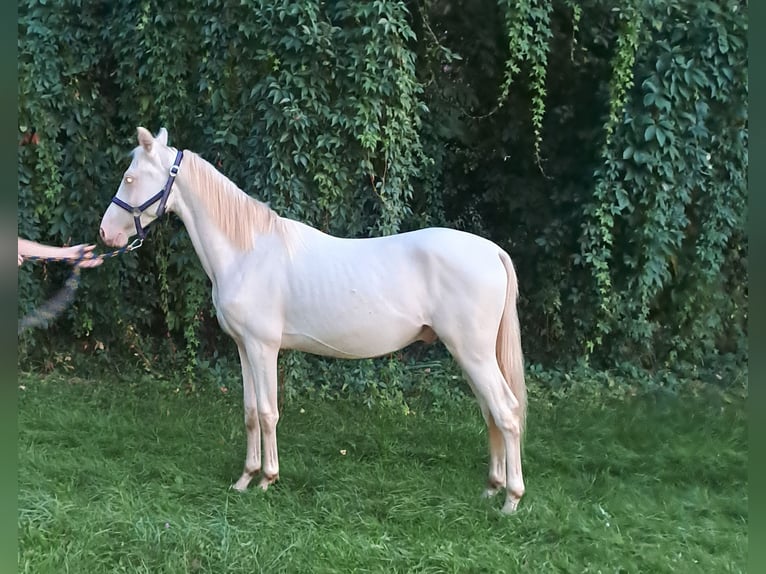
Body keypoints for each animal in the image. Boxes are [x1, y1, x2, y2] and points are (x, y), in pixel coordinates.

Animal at [97, 128, 528, 516]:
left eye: (130, 178)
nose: (105, 233)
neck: (247, 252)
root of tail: (492, 251)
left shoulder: (263, 348)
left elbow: (268, 412)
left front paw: (267, 479)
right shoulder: (243, 348)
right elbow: (250, 412)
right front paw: (244, 479)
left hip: (472, 353)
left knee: (506, 411)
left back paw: (511, 500)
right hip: (469, 355)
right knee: (490, 411)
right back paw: (492, 488)